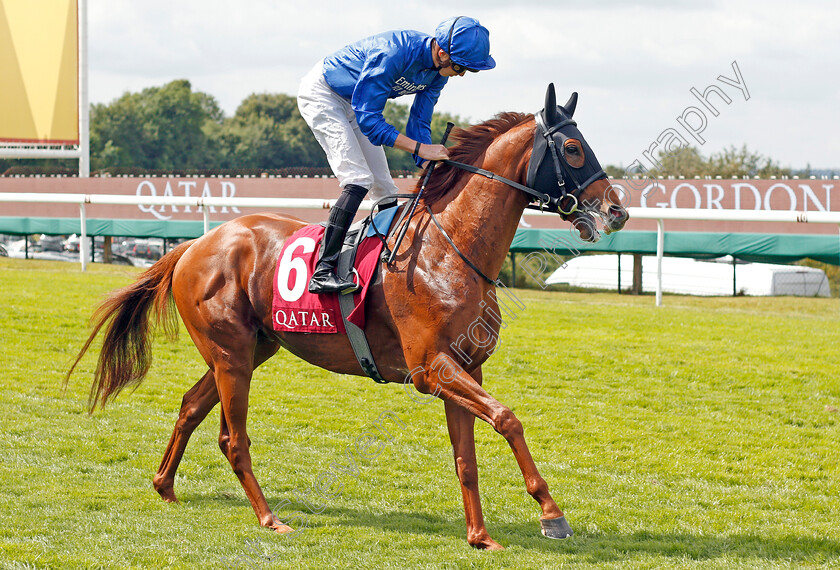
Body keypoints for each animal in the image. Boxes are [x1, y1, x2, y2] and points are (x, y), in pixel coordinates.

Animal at [65, 83, 628, 544]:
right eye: (573, 148)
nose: (616, 210)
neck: (449, 250)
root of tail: (196, 244)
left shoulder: (466, 366)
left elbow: (466, 456)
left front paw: (480, 536)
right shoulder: (432, 369)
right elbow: (508, 419)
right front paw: (551, 514)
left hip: (250, 350)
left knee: (189, 406)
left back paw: (164, 484)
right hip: (231, 354)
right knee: (233, 438)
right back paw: (269, 518)